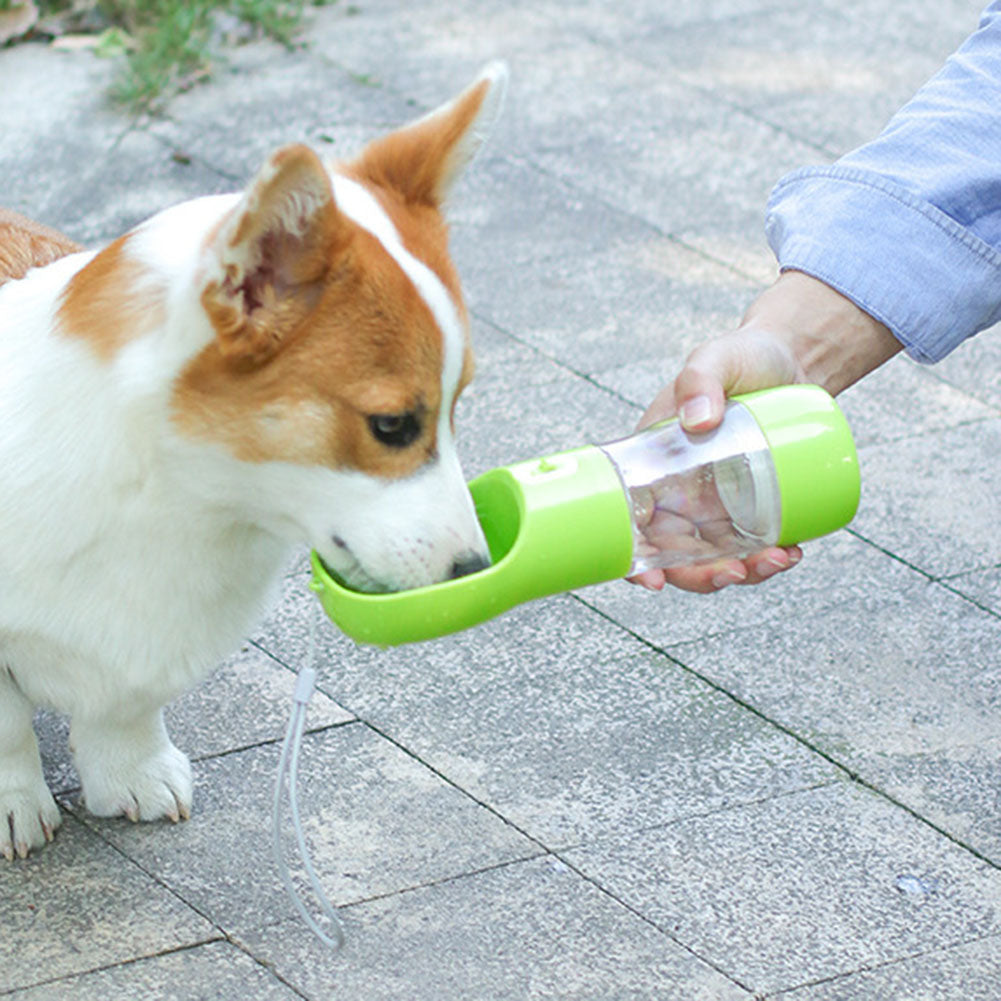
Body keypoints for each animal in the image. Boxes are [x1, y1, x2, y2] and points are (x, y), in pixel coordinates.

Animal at [0, 64, 504, 860]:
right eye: (392, 425)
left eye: (458, 406)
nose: (474, 570)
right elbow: (6, 727)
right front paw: (13, 805)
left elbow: (127, 705)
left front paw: (133, 774)